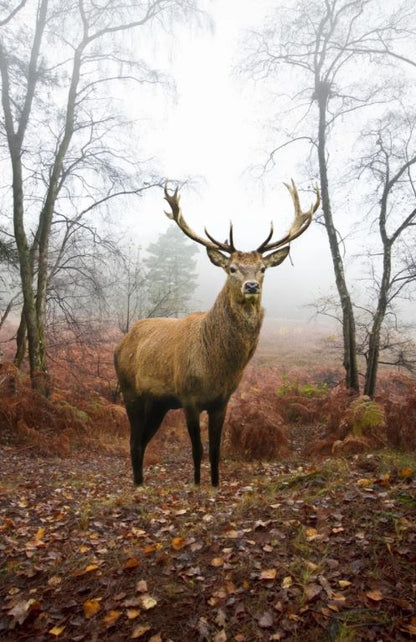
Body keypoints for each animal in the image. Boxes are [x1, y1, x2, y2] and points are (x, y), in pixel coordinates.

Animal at [114, 181, 320, 487]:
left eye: (262, 269)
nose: (251, 286)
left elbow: (215, 450)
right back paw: (138, 486)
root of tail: (120, 344)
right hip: (131, 392)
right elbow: (197, 450)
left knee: (142, 441)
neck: (216, 366)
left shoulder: (222, 401)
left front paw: (214, 484)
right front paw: (197, 484)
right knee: (133, 441)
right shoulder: (188, 397)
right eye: (232, 268)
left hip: (158, 404)